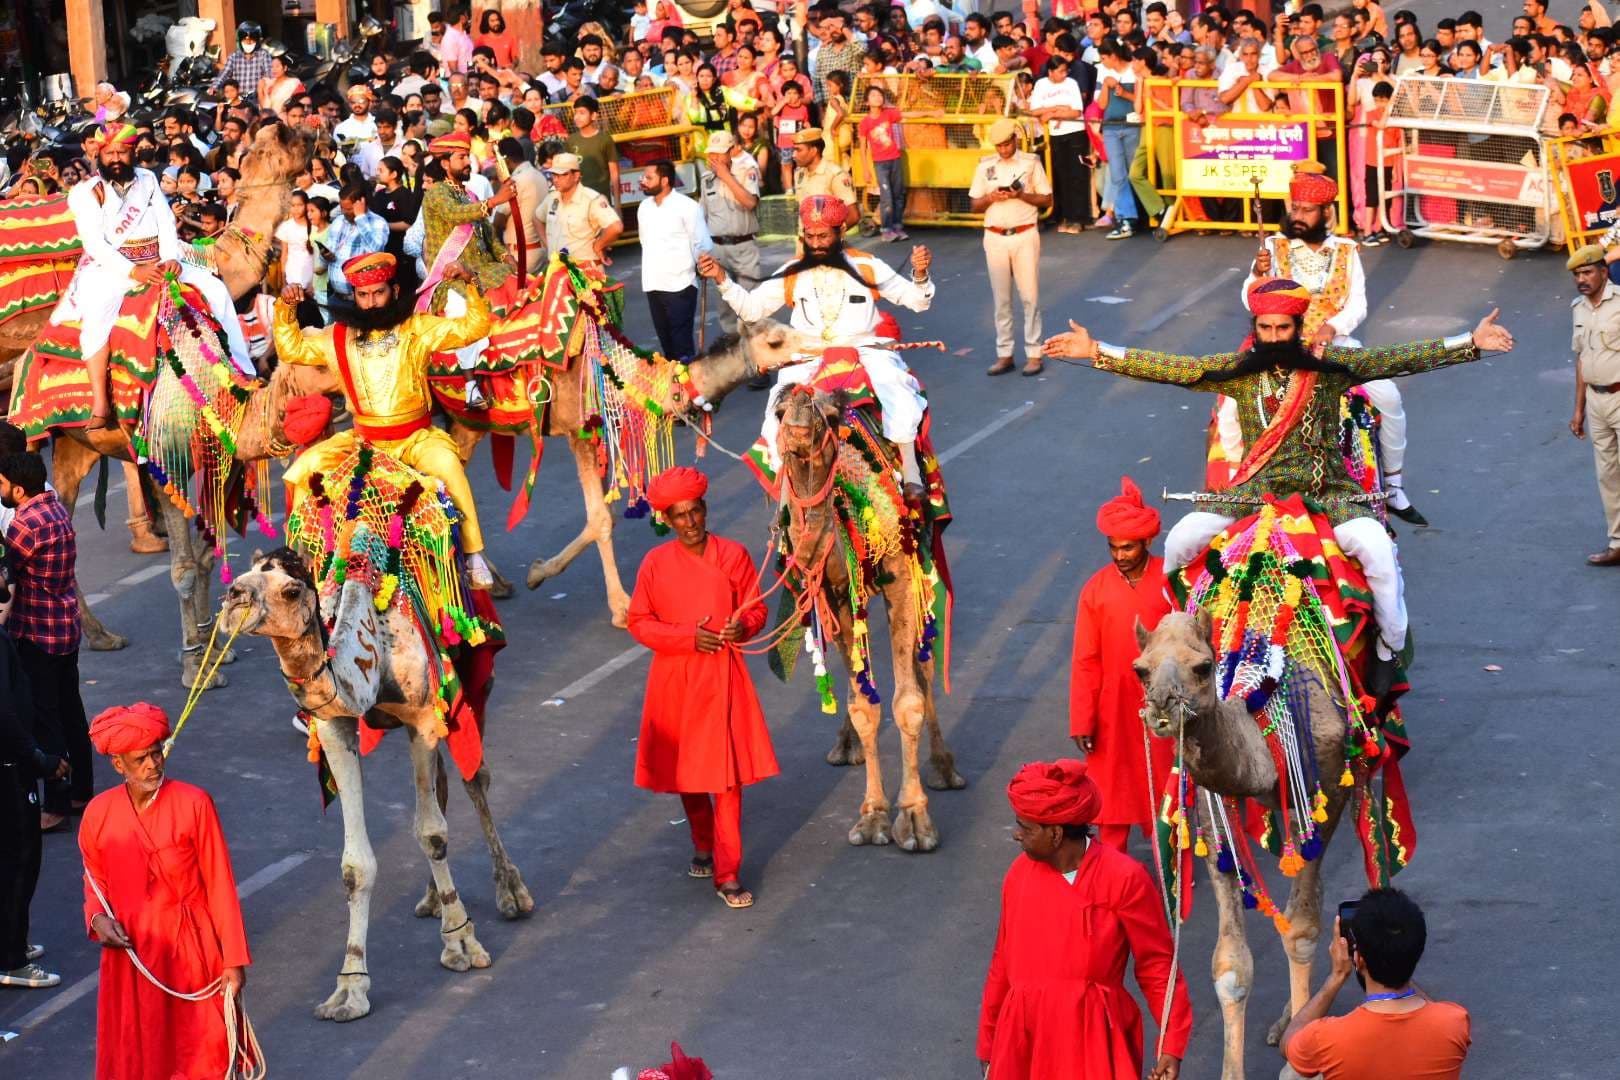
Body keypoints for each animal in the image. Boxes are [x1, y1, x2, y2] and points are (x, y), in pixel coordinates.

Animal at [3, 122, 314, 670]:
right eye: (279, 140)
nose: (314, 133)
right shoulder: (163, 451)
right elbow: (185, 565)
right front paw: (195, 663)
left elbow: (209, 553)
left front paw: (215, 648)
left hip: (73, 447)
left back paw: (101, 635)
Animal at [223, 453, 531, 1023]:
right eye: (247, 572)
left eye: (290, 590)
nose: (234, 598)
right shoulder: (336, 725)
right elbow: (355, 864)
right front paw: (349, 988)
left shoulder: (423, 716)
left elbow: (431, 833)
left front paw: (461, 944)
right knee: (444, 785)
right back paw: (432, 899)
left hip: (470, 676)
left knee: (475, 779)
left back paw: (511, 892)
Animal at [437, 259, 803, 625]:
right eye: (774, 341)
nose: (811, 344)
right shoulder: (578, 433)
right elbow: (600, 519)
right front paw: (622, 608)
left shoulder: (598, 434)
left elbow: (605, 516)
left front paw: (538, 571)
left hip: (469, 424)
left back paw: (494, 581)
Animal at [767, 380, 965, 854]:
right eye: (779, 413)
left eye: (829, 417)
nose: (799, 420)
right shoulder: (834, 594)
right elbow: (863, 705)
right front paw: (873, 816)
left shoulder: (901, 581)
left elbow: (907, 701)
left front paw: (914, 820)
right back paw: (845, 747)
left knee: (924, 666)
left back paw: (944, 769)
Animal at [1134, 608, 1360, 1080]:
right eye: (1141, 670)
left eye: (1203, 667)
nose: (1162, 704)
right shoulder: (1211, 802)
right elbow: (1231, 964)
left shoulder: (1325, 789)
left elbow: (1301, 931)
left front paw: (1298, 1063)